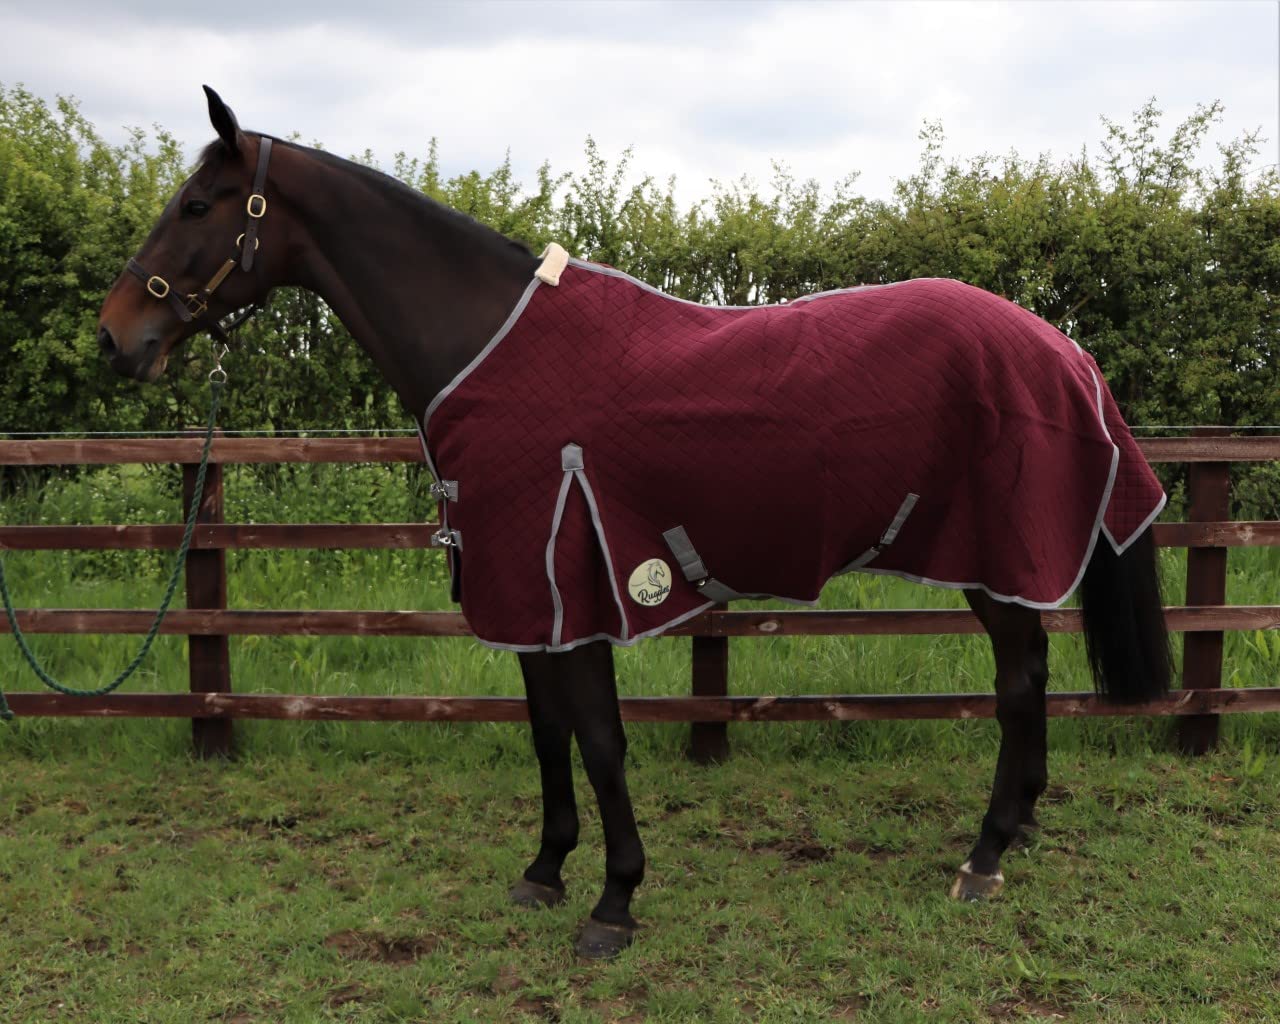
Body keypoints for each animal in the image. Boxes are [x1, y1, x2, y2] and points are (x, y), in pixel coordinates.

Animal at [96, 87, 1172, 959]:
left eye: (197, 206)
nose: (115, 338)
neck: (484, 347)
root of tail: (1059, 348)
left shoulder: (569, 580)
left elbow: (602, 739)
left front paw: (613, 903)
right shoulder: (522, 592)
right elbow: (546, 734)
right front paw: (544, 870)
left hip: (994, 555)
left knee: (1018, 680)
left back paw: (983, 856)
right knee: (1029, 678)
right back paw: (1016, 829)